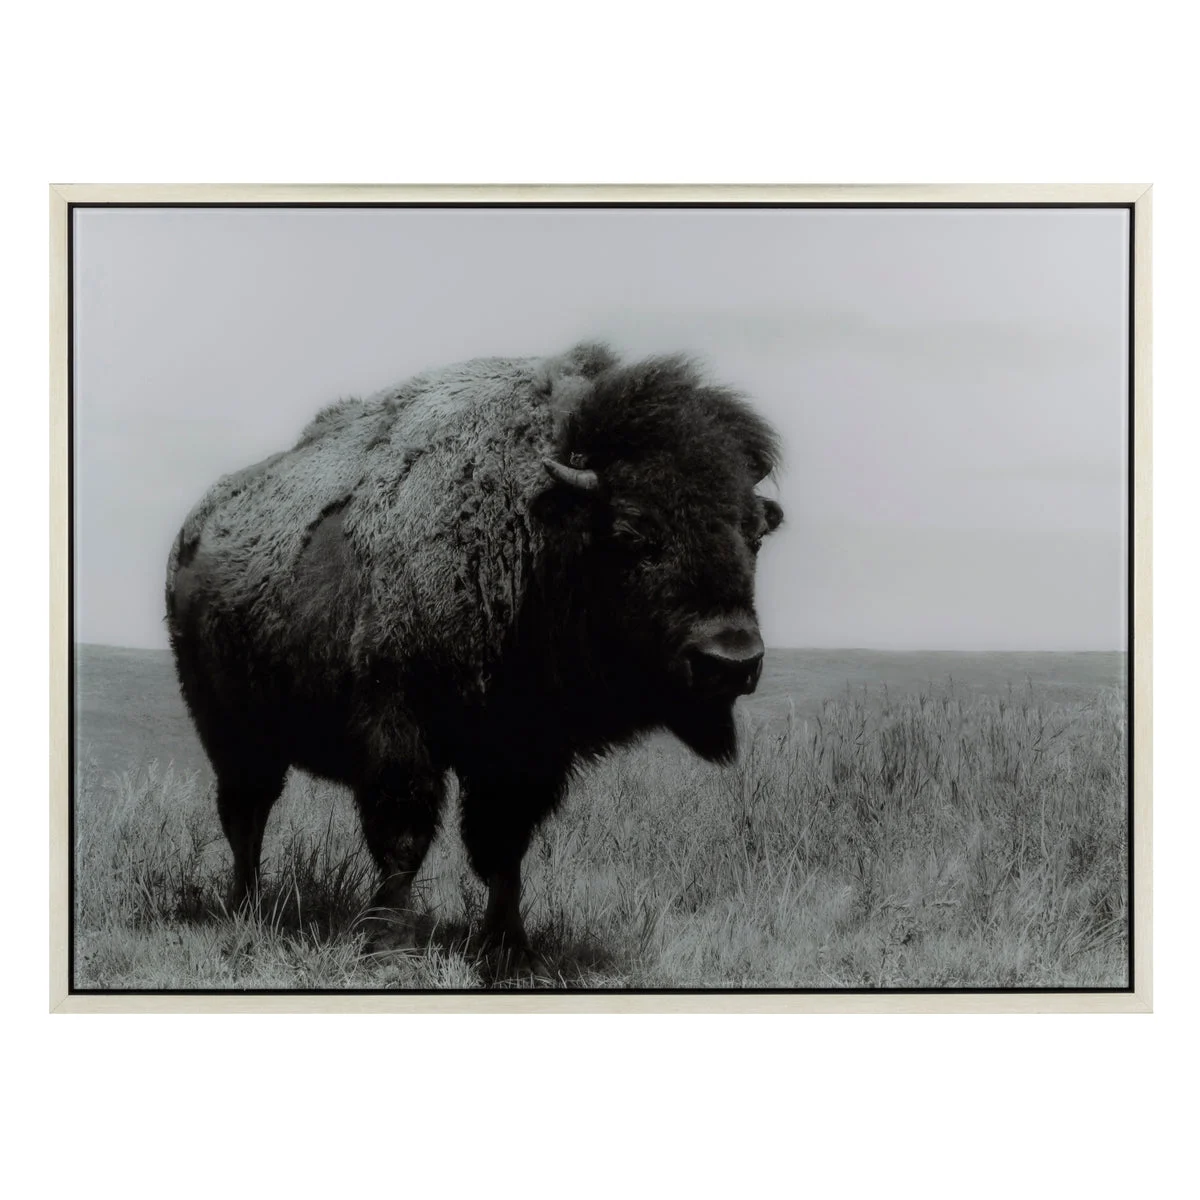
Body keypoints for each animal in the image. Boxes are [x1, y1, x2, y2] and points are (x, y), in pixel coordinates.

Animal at [166, 342, 784, 975]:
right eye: (633, 531)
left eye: (756, 533)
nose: (731, 659)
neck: (534, 528)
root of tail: (193, 533)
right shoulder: (400, 731)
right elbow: (404, 837)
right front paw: (388, 945)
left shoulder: (525, 751)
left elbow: (503, 847)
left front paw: (511, 949)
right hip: (232, 728)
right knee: (247, 813)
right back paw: (247, 909)